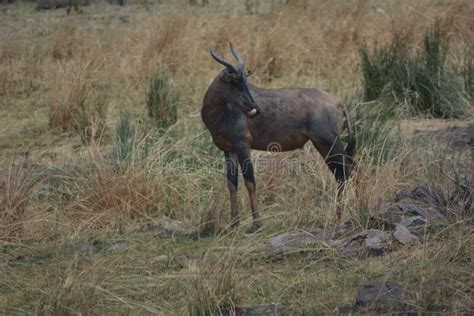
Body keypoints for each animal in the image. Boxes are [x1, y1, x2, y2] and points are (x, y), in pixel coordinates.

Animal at [202, 43, 358, 232]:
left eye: (245, 81)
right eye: (234, 81)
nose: (254, 109)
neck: (224, 112)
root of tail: (339, 103)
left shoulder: (243, 145)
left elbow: (250, 181)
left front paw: (256, 225)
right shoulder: (229, 150)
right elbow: (232, 184)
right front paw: (233, 225)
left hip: (328, 142)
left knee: (351, 168)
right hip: (323, 145)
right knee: (341, 174)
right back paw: (339, 216)